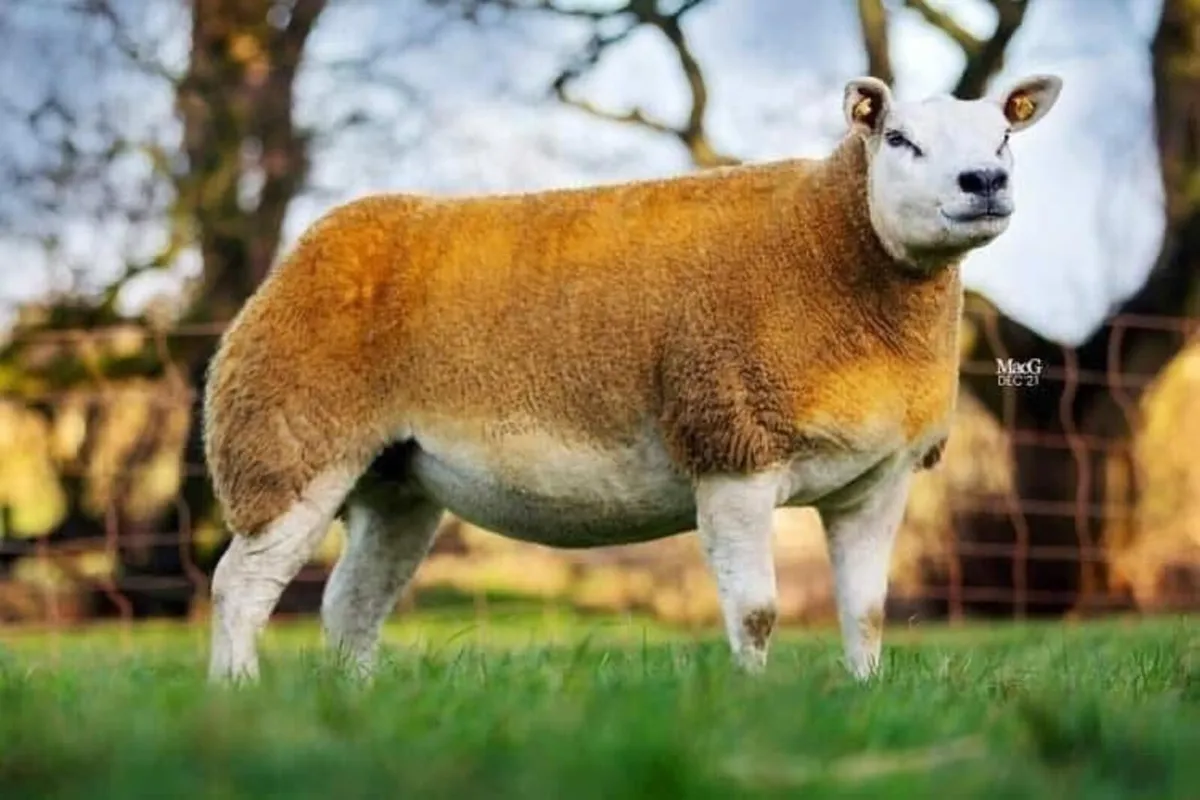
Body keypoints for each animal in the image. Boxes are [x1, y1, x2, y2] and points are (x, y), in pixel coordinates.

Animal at [204, 74, 1062, 683]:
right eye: (899, 140)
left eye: (1004, 135)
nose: (983, 181)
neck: (829, 253)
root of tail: (310, 247)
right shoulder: (730, 447)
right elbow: (757, 613)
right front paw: (753, 702)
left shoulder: (879, 479)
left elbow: (869, 614)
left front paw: (862, 697)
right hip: (288, 442)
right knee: (239, 585)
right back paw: (236, 695)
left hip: (396, 482)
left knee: (350, 606)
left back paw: (353, 702)